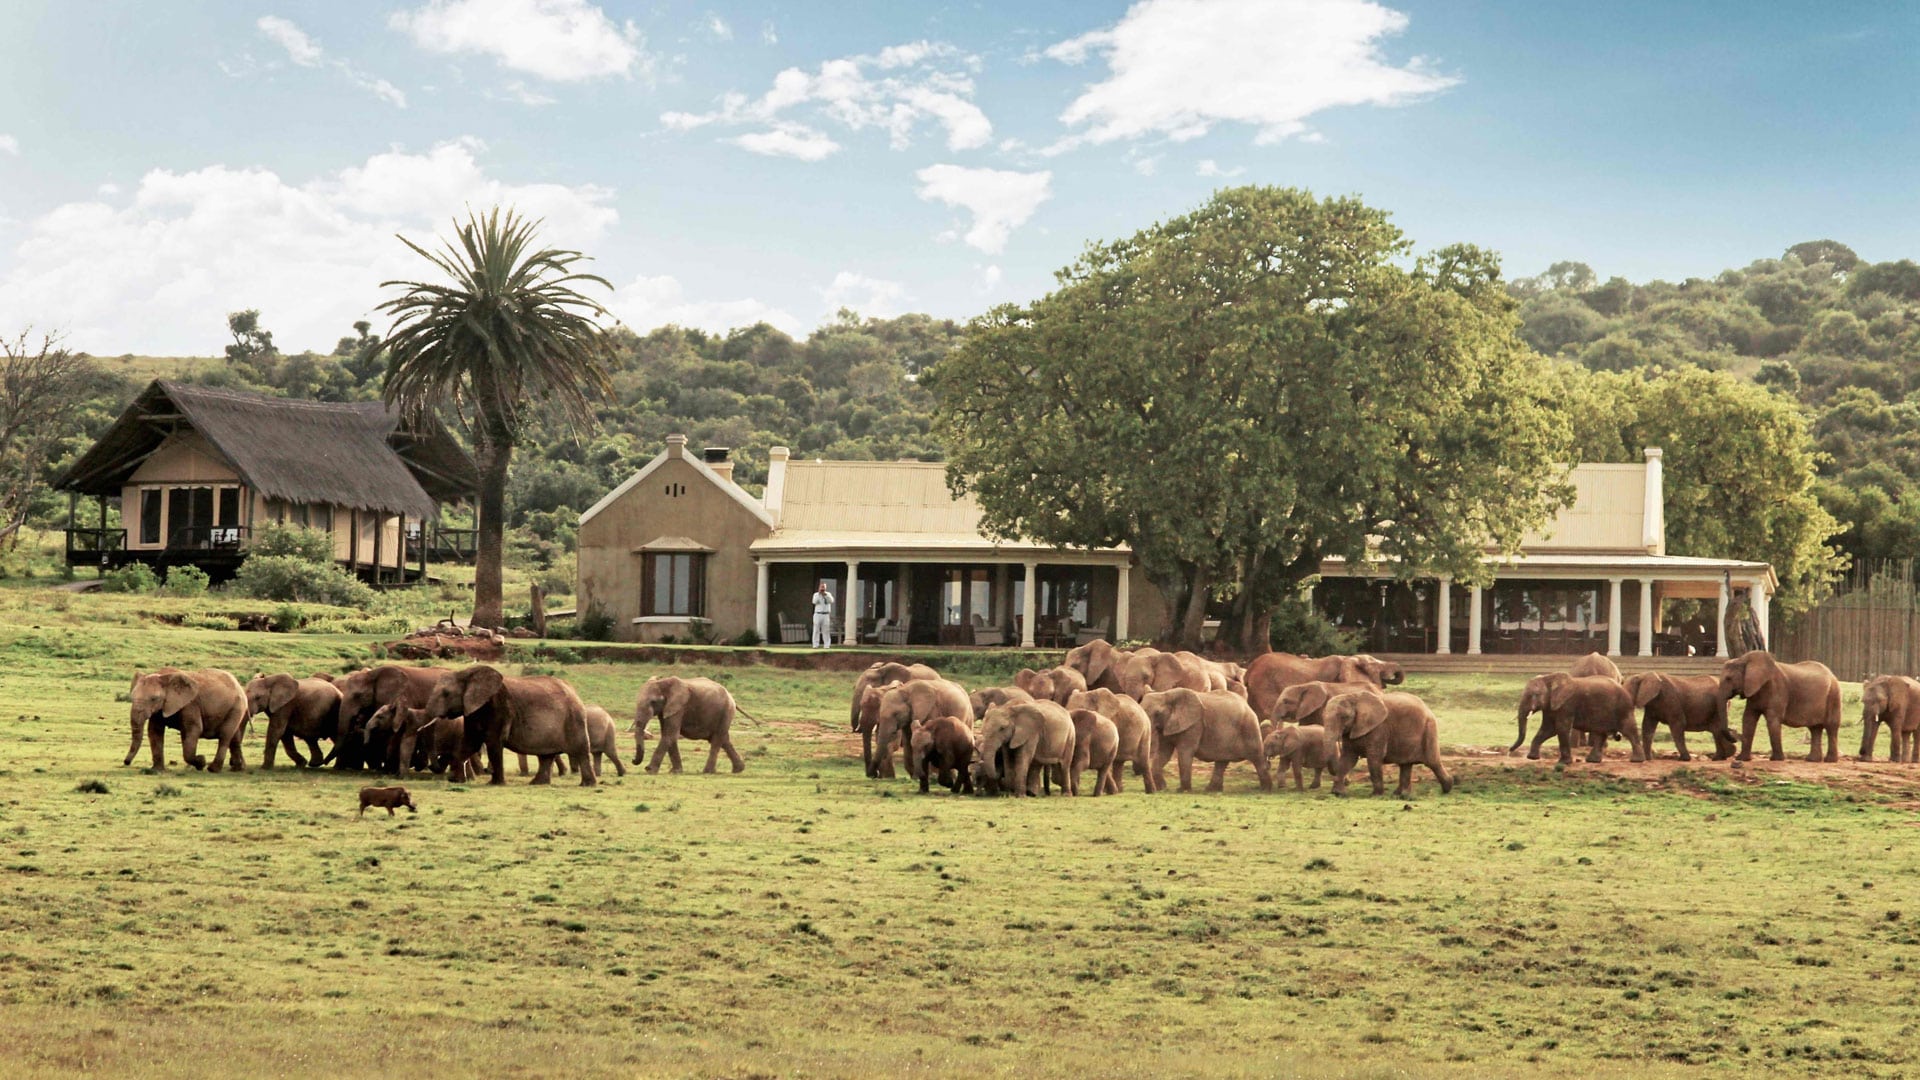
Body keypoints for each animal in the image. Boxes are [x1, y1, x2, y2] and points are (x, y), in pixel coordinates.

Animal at [424, 664, 595, 780]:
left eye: (446, 693)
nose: (431, 766)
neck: (467, 673)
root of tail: (575, 692)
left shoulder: (499, 707)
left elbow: (493, 743)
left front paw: (495, 784)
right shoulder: (473, 710)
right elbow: (470, 742)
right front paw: (455, 780)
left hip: (574, 719)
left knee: (581, 751)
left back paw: (587, 784)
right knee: (547, 755)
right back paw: (537, 783)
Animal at [1136, 687, 1274, 791]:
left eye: (1157, 713)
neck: (1166, 694)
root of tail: (1249, 707)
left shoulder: (1194, 725)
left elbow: (1185, 753)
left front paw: (1182, 791)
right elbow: (1163, 754)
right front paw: (1162, 788)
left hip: (1249, 728)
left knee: (1257, 758)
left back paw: (1266, 790)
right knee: (1222, 761)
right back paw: (1211, 790)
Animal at [1320, 687, 1451, 791]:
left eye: (1344, 717)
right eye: (1323, 717)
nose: (1348, 781)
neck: (1354, 696)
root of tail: (1427, 708)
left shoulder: (1379, 728)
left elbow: (1374, 758)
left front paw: (1376, 795)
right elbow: (1348, 758)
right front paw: (1337, 793)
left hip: (1429, 729)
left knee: (1433, 762)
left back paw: (1448, 787)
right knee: (1405, 764)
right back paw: (1400, 796)